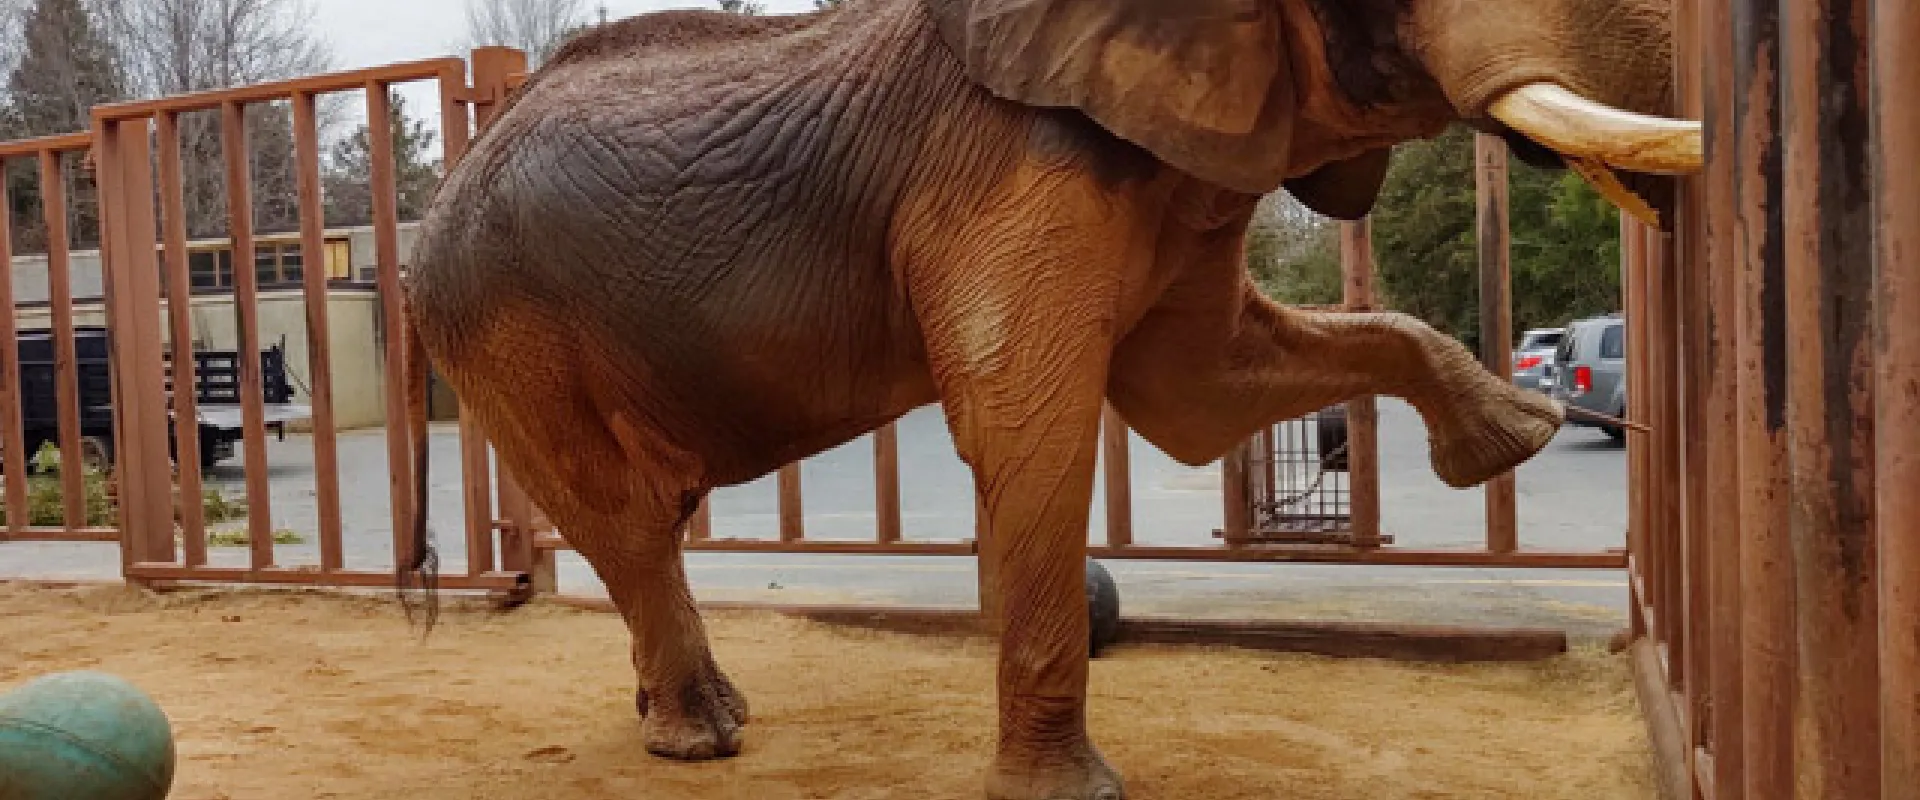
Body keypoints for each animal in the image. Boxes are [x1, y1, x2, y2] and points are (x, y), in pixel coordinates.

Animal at [398, 0, 1700, 797]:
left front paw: (1512, 438)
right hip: (503, 322)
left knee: (648, 523)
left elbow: (1200, 392)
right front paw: (1071, 793)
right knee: (622, 517)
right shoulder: (1006, 165)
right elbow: (1034, 423)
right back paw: (701, 740)